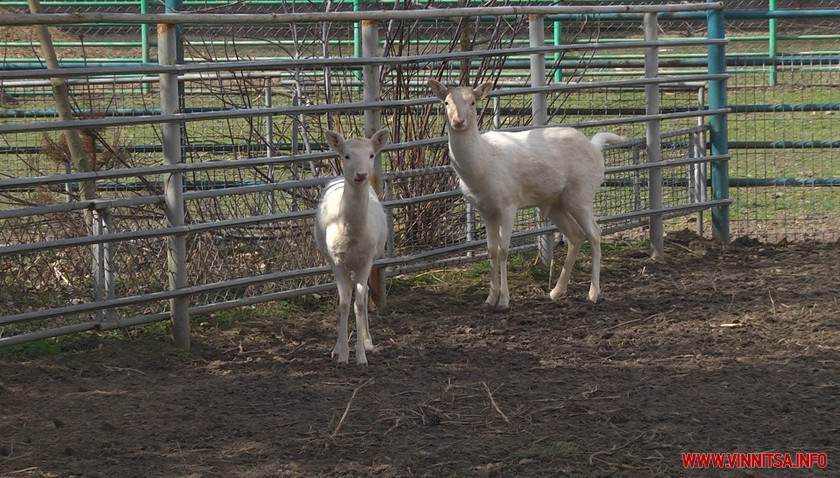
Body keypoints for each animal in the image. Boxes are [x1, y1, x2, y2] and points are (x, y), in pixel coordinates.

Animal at [316, 128, 390, 366]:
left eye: (371, 155)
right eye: (346, 155)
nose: (361, 175)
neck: (351, 236)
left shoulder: (366, 260)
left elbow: (357, 303)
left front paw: (360, 356)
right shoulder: (335, 260)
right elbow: (343, 303)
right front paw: (341, 354)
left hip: (368, 260)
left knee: (364, 294)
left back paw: (368, 343)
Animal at [426, 79, 624, 310]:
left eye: (473, 102)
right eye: (446, 102)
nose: (458, 121)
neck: (481, 167)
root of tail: (595, 145)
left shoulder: (508, 203)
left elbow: (503, 249)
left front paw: (504, 300)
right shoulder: (485, 209)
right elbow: (491, 250)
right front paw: (489, 299)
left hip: (582, 193)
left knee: (595, 232)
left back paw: (592, 293)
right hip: (557, 203)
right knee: (576, 235)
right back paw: (556, 291)